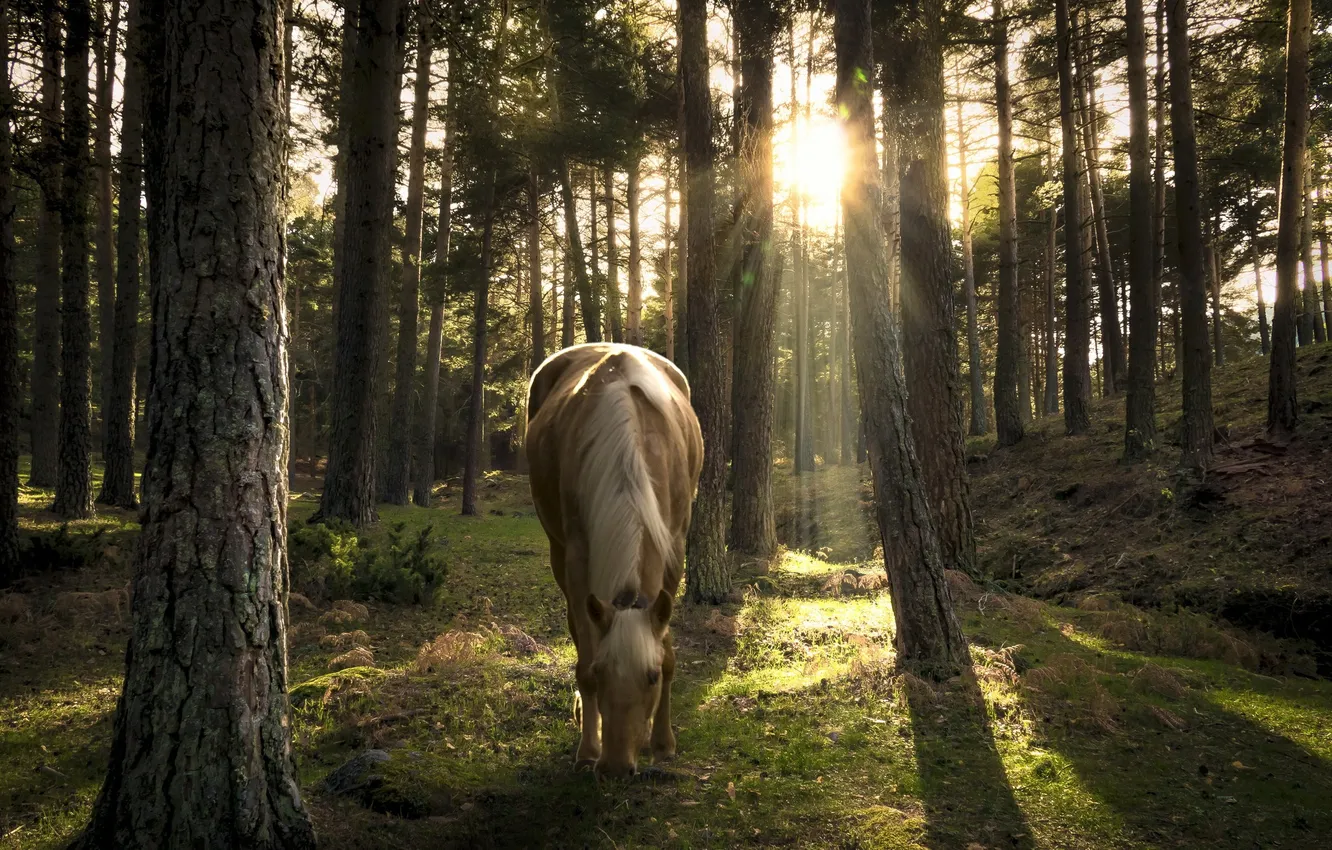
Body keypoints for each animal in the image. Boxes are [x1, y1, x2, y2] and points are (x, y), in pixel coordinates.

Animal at [525, 343, 703, 778]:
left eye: (651, 678)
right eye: (603, 673)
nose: (617, 767)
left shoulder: (674, 550)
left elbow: (668, 651)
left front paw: (663, 743)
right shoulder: (576, 560)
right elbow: (584, 660)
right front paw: (589, 748)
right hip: (559, 555)